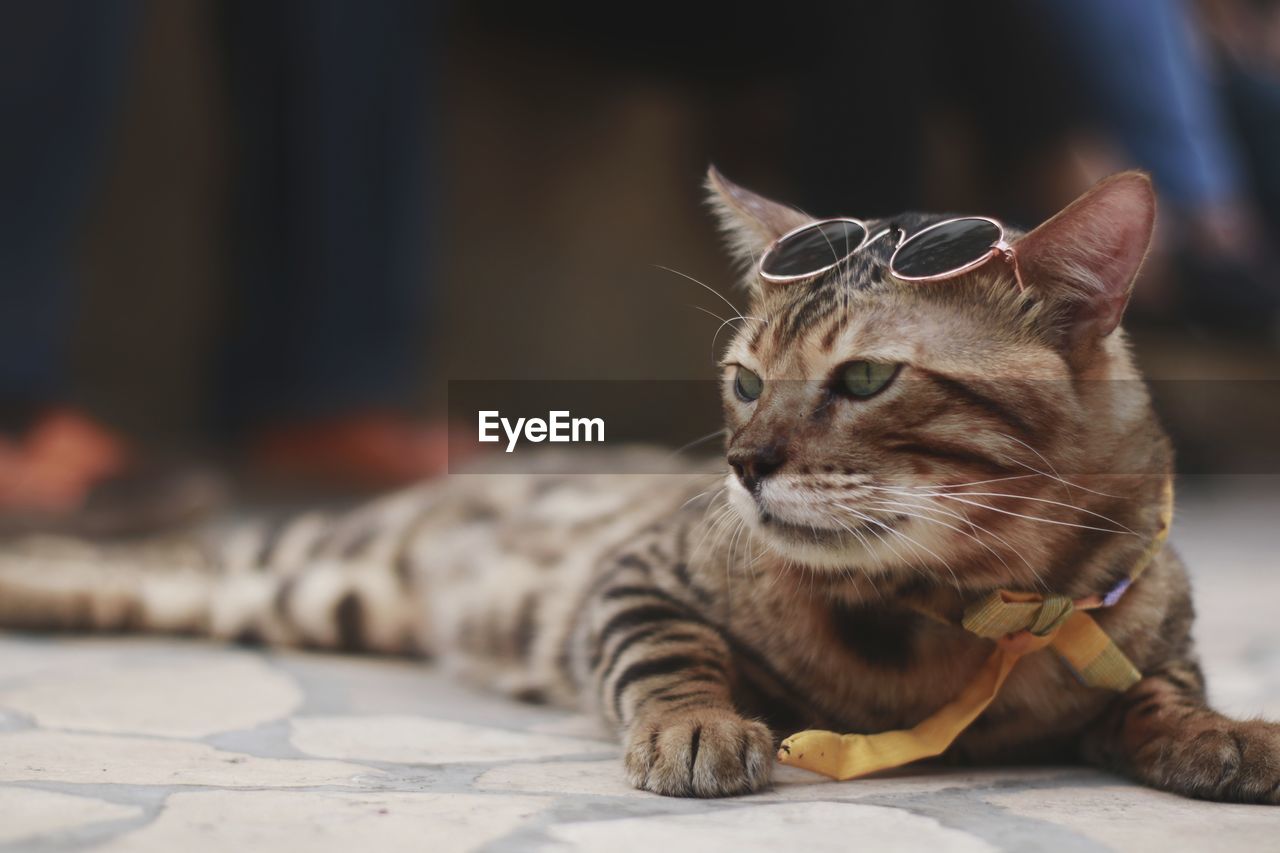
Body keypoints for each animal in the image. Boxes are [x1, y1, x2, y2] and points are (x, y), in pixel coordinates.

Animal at [2, 169, 1280, 799]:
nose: (741, 465)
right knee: (166, 565)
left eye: (866, 376)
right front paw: (697, 724)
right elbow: (668, 654)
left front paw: (1214, 728)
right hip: (311, 571)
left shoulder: (1132, 618)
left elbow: (1156, 689)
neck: (964, 613)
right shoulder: (634, 575)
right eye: (743, 381)